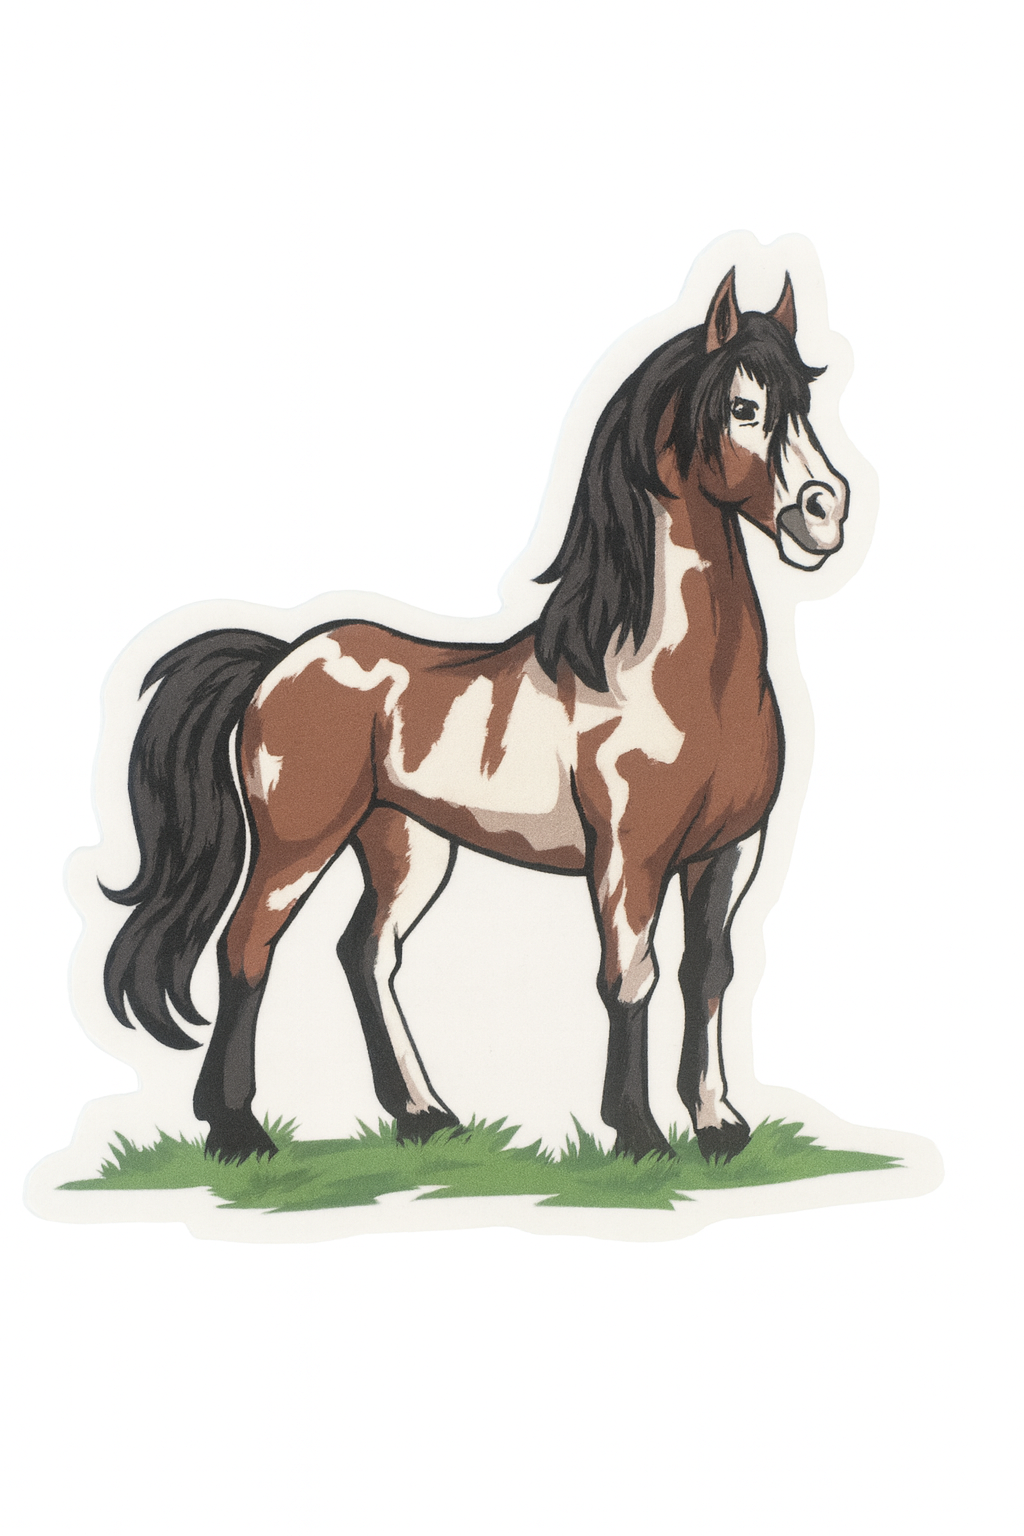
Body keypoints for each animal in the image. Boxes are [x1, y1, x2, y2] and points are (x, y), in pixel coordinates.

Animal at [102, 268, 849, 1165]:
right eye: (743, 407)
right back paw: (238, 1130)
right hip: (298, 842)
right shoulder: (629, 856)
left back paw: (423, 1114)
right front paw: (638, 1136)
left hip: (407, 844)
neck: (666, 672)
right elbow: (630, 975)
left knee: (367, 953)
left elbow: (708, 974)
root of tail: (280, 660)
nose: (826, 511)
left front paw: (717, 1127)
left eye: (806, 401)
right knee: (247, 949)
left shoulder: (729, 850)